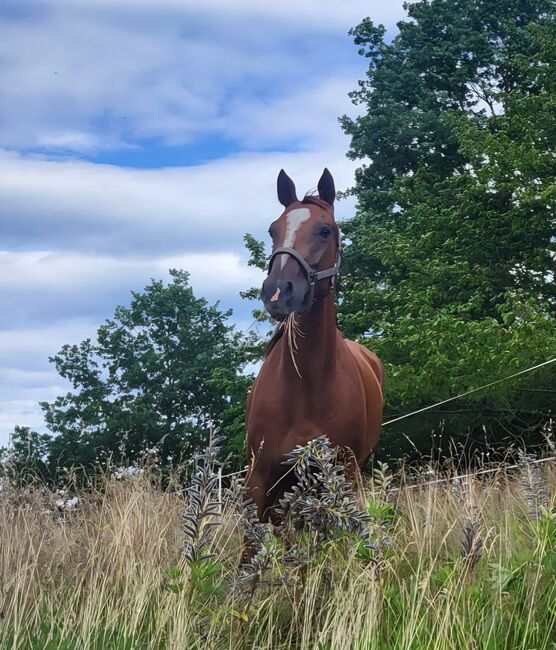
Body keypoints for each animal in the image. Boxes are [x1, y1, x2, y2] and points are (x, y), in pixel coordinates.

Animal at [244, 168, 383, 526]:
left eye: (325, 230)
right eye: (273, 230)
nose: (278, 292)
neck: (307, 383)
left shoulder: (343, 474)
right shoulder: (259, 479)